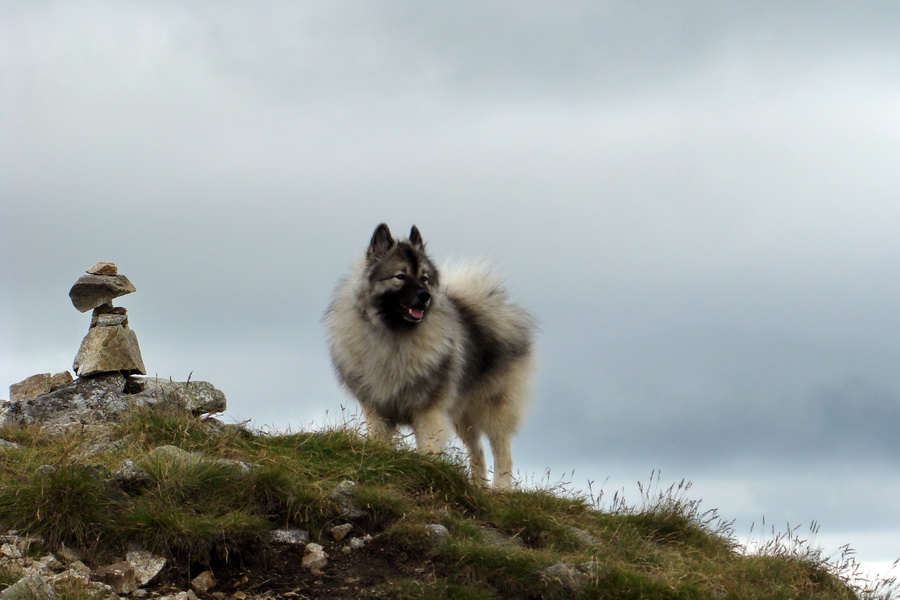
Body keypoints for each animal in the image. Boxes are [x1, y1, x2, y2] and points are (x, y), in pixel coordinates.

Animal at [324, 224, 536, 488]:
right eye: (400, 276)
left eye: (424, 278)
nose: (425, 295)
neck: (394, 336)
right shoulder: (377, 410)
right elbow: (379, 440)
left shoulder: (429, 412)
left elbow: (428, 449)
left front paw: (427, 471)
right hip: (461, 414)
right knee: (477, 451)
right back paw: (478, 486)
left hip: (494, 407)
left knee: (502, 452)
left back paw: (500, 490)